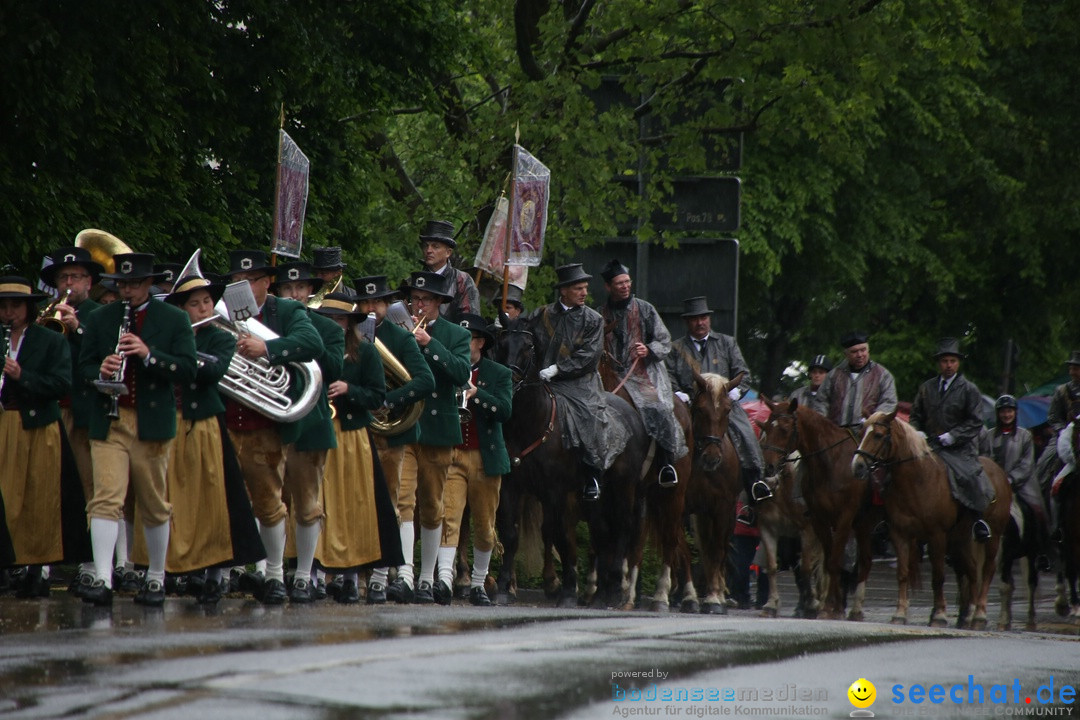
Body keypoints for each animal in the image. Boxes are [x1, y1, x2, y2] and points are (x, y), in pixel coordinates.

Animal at [492, 315, 648, 608]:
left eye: (528, 346)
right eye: (502, 344)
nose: (509, 381)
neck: (531, 424)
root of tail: (632, 414)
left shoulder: (556, 492)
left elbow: (559, 535)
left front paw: (565, 591)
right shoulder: (511, 487)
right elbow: (510, 533)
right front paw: (503, 589)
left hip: (625, 488)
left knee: (622, 529)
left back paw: (616, 590)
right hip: (597, 500)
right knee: (602, 534)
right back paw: (601, 594)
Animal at [751, 399, 876, 621]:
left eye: (784, 430)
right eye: (763, 432)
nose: (768, 470)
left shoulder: (812, 528)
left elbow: (809, 568)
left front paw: (813, 604)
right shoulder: (770, 528)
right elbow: (773, 566)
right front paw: (771, 604)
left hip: (861, 524)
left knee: (861, 561)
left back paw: (851, 608)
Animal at [851, 414, 1010, 626]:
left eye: (877, 435)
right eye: (861, 433)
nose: (857, 466)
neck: (917, 480)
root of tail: (999, 471)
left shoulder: (937, 536)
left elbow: (938, 577)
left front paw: (940, 615)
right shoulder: (900, 534)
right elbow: (902, 573)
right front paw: (899, 614)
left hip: (993, 535)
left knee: (987, 570)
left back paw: (980, 614)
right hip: (959, 540)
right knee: (971, 569)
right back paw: (969, 614)